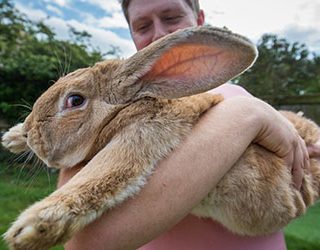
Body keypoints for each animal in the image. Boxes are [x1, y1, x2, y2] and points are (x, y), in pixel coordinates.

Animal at [2, 25, 320, 250]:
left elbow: (100, 176)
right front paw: (11, 137)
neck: (125, 111)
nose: (30, 132)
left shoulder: (143, 134)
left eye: (75, 100)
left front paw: (30, 228)